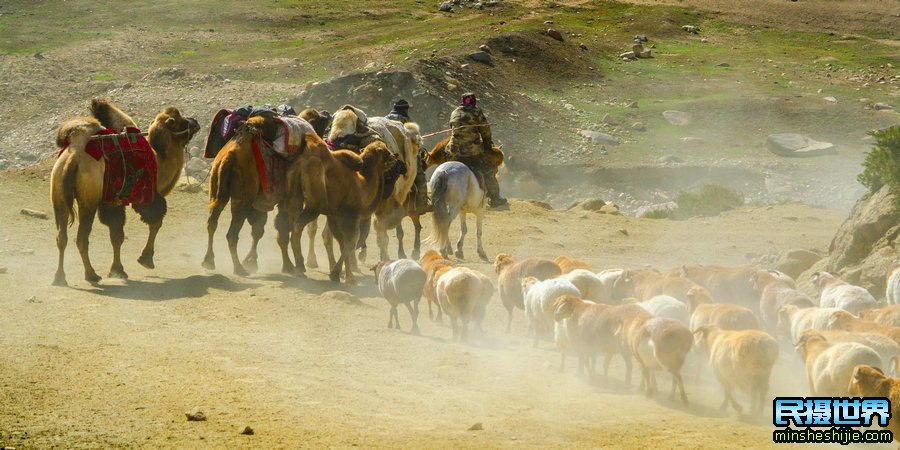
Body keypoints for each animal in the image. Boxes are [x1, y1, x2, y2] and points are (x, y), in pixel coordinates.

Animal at [51, 100, 199, 286]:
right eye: (182, 121)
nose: (195, 122)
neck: (159, 159)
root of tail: (72, 158)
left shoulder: (112, 203)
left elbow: (117, 236)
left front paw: (118, 270)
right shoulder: (147, 196)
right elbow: (155, 223)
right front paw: (145, 260)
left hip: (58, 197)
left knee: (61, 237)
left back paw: (59, 277)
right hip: (88, 202)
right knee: (81, 238)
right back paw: (91, 275)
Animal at [284, 132, 400, 284]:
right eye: (385, 151)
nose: (395, 156)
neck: (363, 187)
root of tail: (304, 161)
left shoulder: (334, 215)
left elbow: (341, 242)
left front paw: (345, 275)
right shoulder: (349, 215)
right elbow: (350, 242)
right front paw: (340, 275)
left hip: (294, 195)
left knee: (292, 222)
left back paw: (298, 266)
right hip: (314, 205)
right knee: (298, 225)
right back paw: (299, 266)